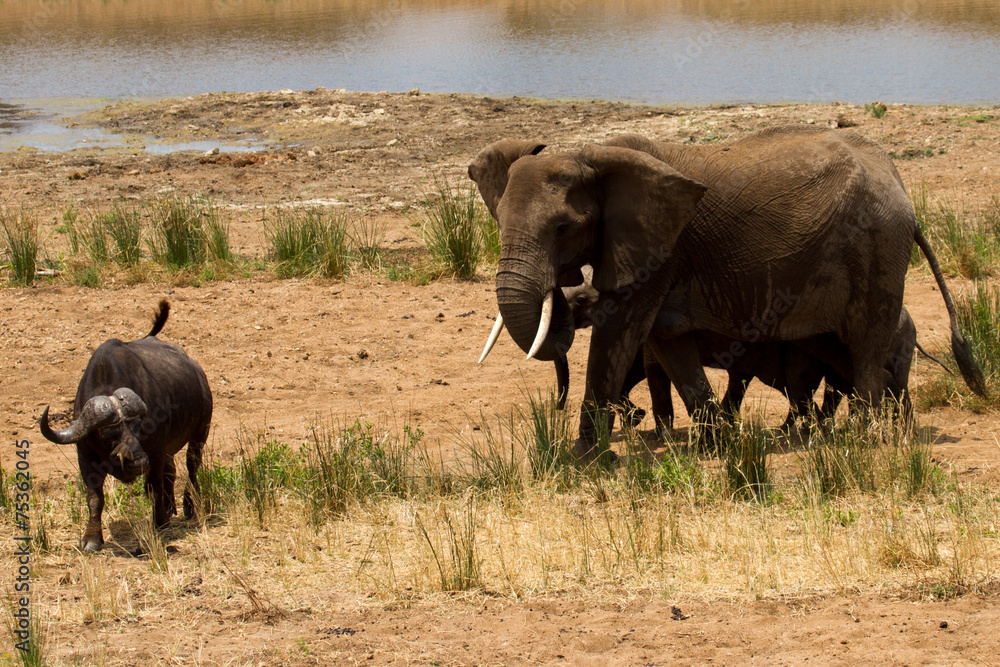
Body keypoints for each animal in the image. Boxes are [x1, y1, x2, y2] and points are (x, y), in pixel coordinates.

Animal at [469, 126, 984, 457]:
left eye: (563, 228)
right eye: (499, 222)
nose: (561, 287)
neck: (590, 157)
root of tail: (899, 185)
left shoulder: (661, 248)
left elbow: (619, 329)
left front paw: (584, 460)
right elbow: (669, 342)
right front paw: (719, 444)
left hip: (877, 248)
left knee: (866, 346)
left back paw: (865, 439)